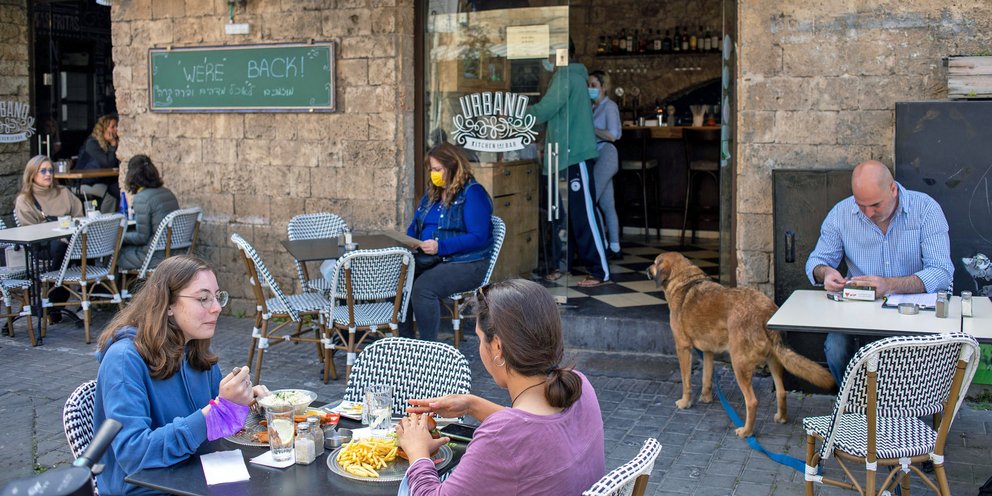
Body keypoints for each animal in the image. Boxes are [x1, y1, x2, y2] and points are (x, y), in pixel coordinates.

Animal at [648, 254, 832, 436]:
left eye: (655, 262)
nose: (646, 269)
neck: (684, 280)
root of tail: (766, 313)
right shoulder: (708, 351)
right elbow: (706, 377)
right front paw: (706, 398)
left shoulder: (683, 348)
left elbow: (686, 381)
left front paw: (685, 402)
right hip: (773, 360)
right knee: (781, 391)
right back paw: (781, 417)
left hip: (738, 364)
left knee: (752, 401)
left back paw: (746, 431)